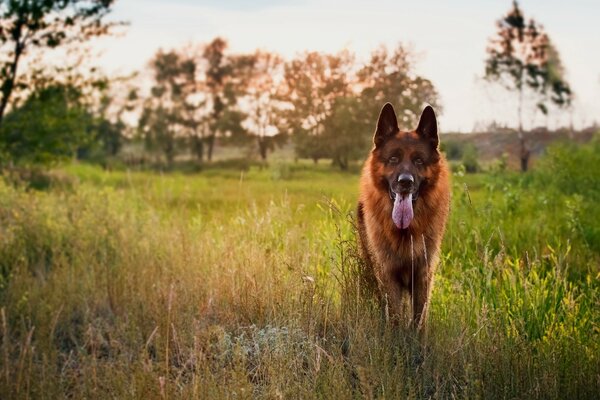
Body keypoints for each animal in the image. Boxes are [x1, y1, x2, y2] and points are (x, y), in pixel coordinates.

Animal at [356, 102, 450, 328]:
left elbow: (419, 321)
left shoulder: (423, 276)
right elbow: (396, 318)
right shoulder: (388, 275)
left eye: (418, 160)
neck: (406, 231)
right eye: (393, 158)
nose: (405, 182)